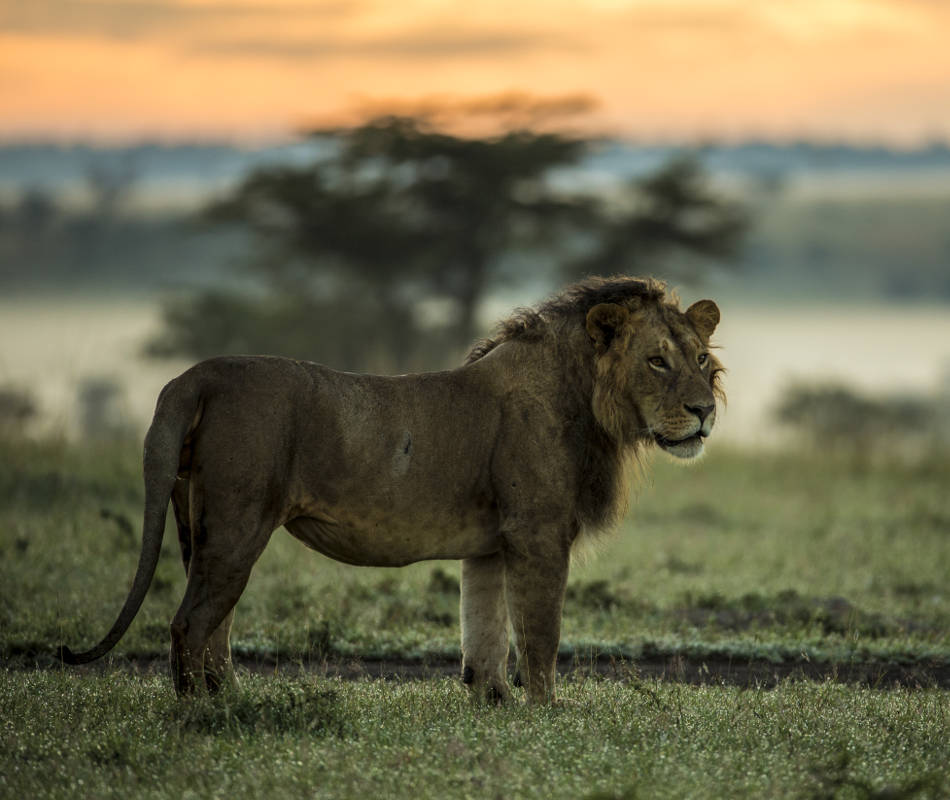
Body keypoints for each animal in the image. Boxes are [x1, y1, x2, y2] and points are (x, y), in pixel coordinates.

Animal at [59, 278, 724, 704]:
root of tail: (198, 375)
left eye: (699, 359)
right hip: (237, 523)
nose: (704, 411)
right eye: (657, 361)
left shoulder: (491, 544)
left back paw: (232, 701)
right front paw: (547, 716)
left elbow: (484, 636)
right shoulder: (537, 533)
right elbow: (540, 635)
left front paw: (495, 708)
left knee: (212, 625)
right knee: (191, 625)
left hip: (197, 523)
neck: (589, 402)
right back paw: (202, 715)